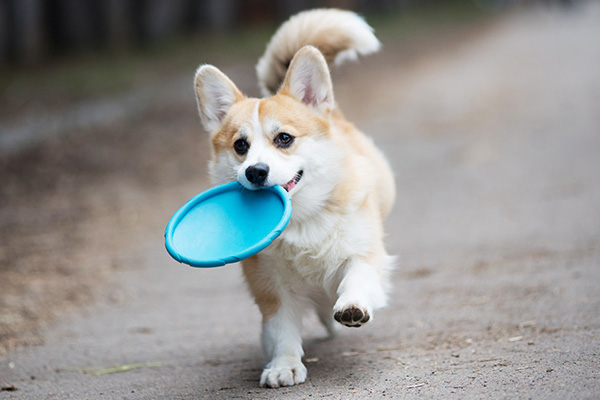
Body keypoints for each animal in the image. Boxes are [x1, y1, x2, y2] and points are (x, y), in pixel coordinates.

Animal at [195, 8, 396, 388]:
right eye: (240, 145)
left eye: (284, 138)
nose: (255, 172)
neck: (301, 221)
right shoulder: (271, 289)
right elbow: (282, 329)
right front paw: (284, 365)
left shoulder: (364, 253)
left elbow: (356, 275)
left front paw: (352, 305)